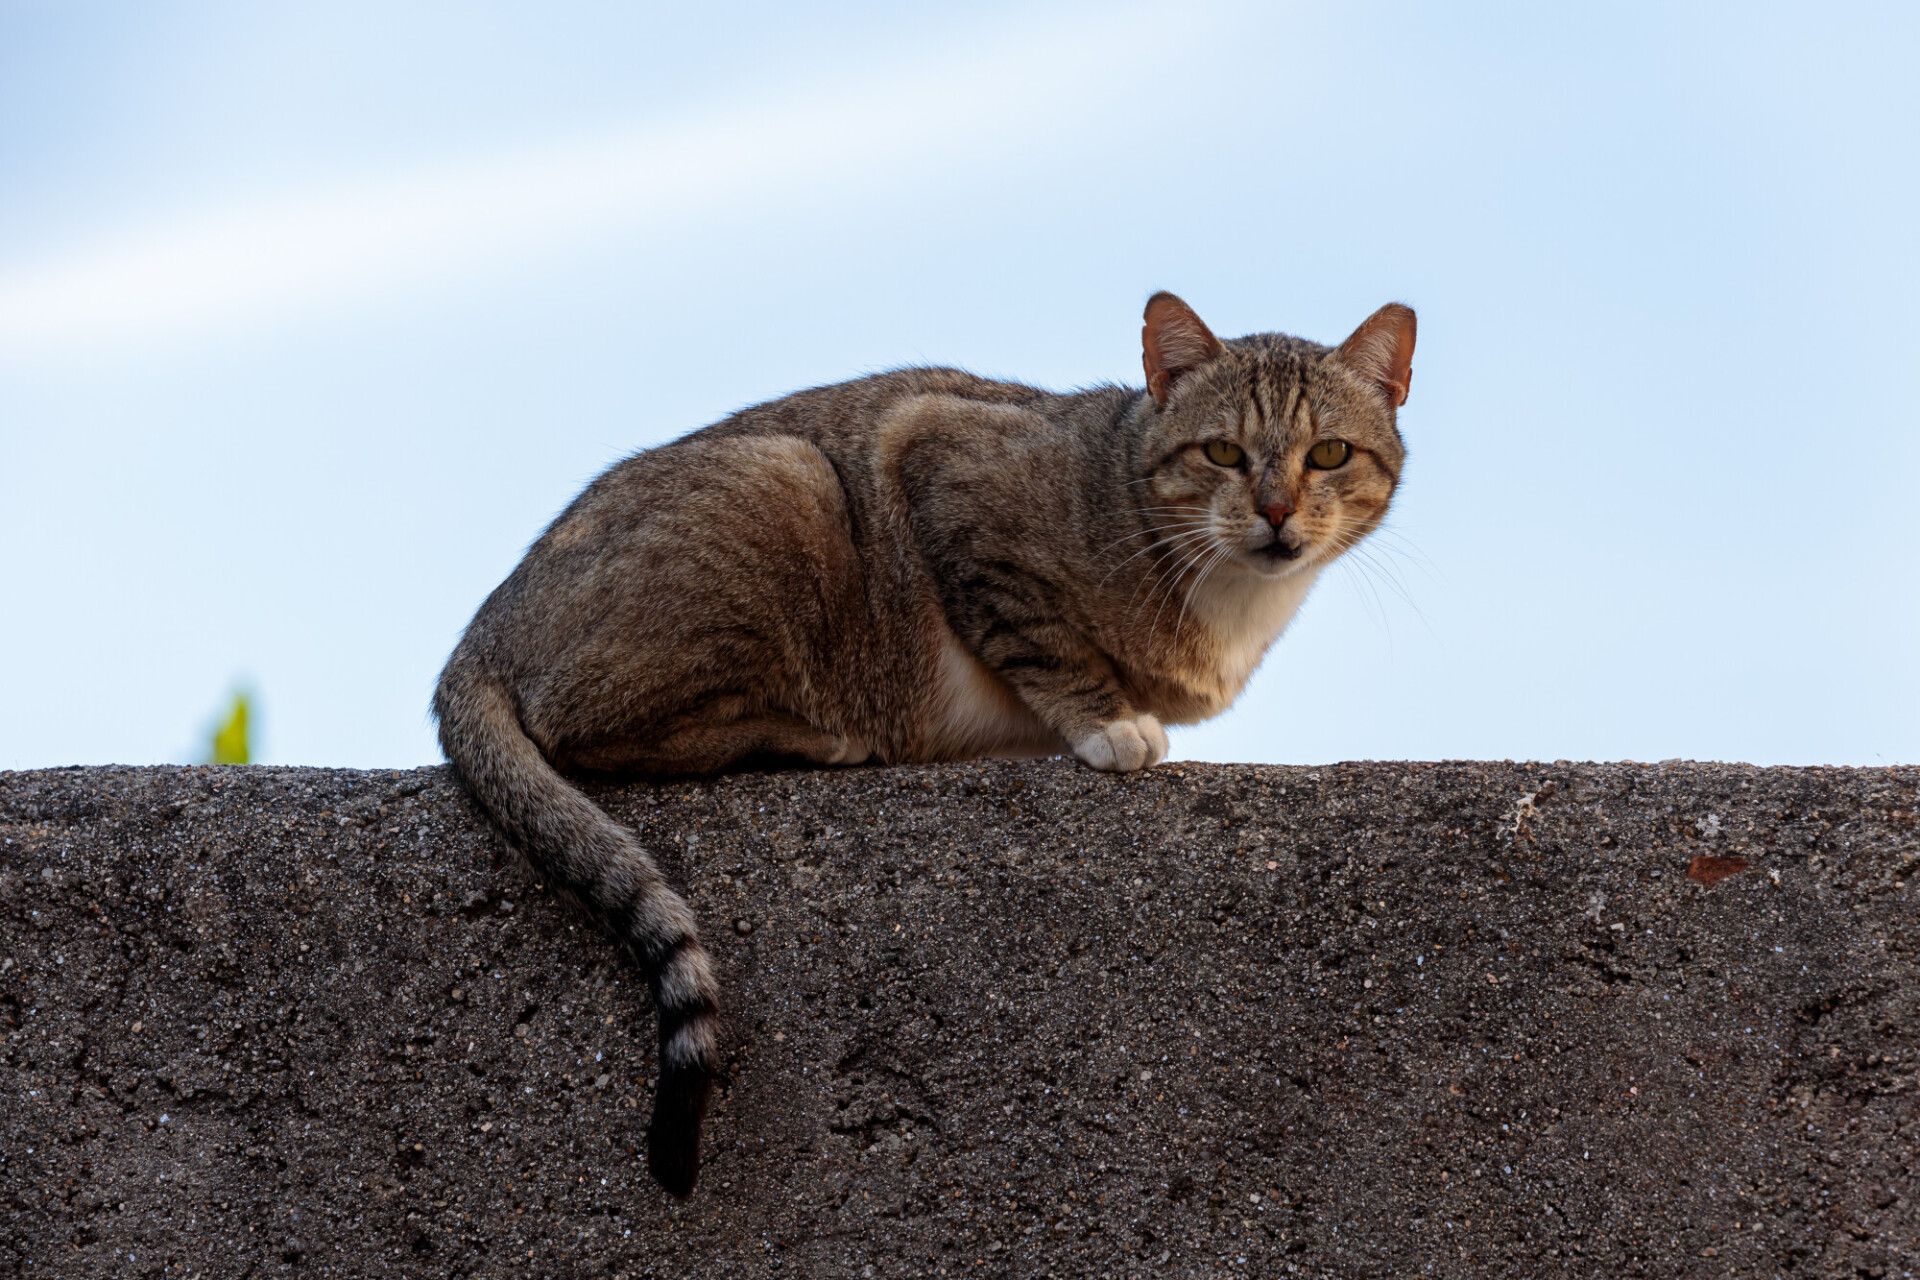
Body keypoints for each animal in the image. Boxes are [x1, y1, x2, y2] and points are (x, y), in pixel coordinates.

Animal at [432, 295, 1413, 1197]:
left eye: (1329, 454)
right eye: (1222, 454)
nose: (1277, 513)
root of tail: (483, 631)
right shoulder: (947, 456)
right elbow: (1038, 635)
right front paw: (1107, 721)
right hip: (789, 479)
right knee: (576, 722)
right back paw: (811, 737)